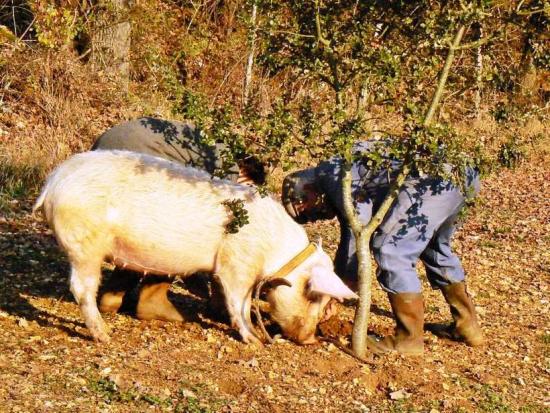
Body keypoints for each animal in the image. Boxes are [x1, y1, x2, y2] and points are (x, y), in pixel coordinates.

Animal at [33, 150, 358, 342]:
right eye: (313, 296)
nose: (310, 339)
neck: (276, 254)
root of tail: (53, 181)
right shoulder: (237, 264)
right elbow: (239, 302)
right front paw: (254, 341)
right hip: (84, 244)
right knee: (80, 288)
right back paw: (105, 336)